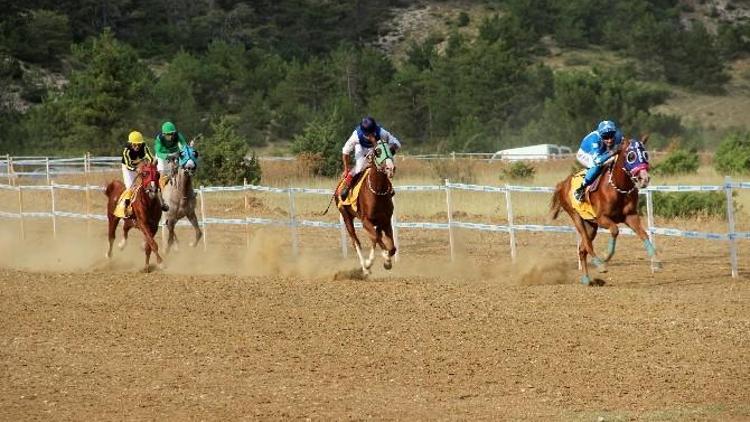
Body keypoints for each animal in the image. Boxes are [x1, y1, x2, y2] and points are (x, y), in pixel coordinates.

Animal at [338, 138, 400, 276]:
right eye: (378, 151)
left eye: (392, 150)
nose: (390, 168)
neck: (377, 191)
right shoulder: (365, 221)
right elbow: (377, 238)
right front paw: (382, 260)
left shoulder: (385, 220)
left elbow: (391, 247)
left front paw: (386, 261)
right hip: (346, 215)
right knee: (356, 241)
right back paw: (365, 268)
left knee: (374, 238)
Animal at [548, 137, 660, 286]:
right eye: (631, 156)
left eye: (646, 154)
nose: (644, 178)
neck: (617, 188)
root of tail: (563, 183)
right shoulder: (602, 218)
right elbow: (615, 230)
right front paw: (605, 257)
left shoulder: (630, 216)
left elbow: (643, 234)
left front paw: (657, 262)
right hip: (577, 218)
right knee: (587, 245)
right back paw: (599, 264)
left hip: (591, 225)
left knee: (582, 249)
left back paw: (586, 279)